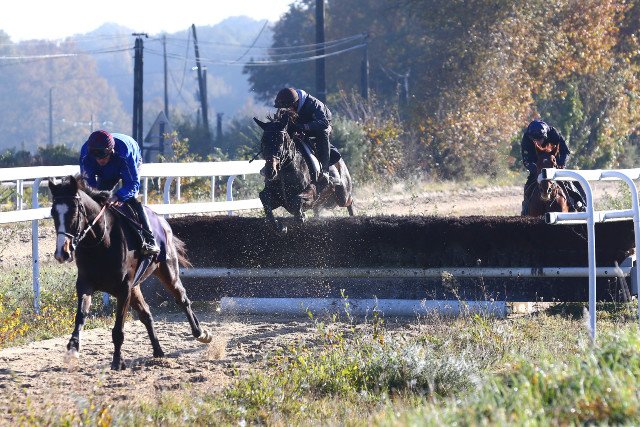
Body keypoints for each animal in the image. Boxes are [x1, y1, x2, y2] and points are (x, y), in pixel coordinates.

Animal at [48, 175, 212, 370]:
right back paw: (158, 351)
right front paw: (72, 349)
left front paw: (117, 361)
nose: (62, 252)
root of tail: (164, 223)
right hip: (135, 287)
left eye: (74, 211)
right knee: (146, 314)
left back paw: (201, 333)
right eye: (53, 212)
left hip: (168, 271)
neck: (101, 244)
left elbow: (118, 329)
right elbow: (80, 316)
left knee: (183, 299)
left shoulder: (123, 289)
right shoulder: (85, 284)